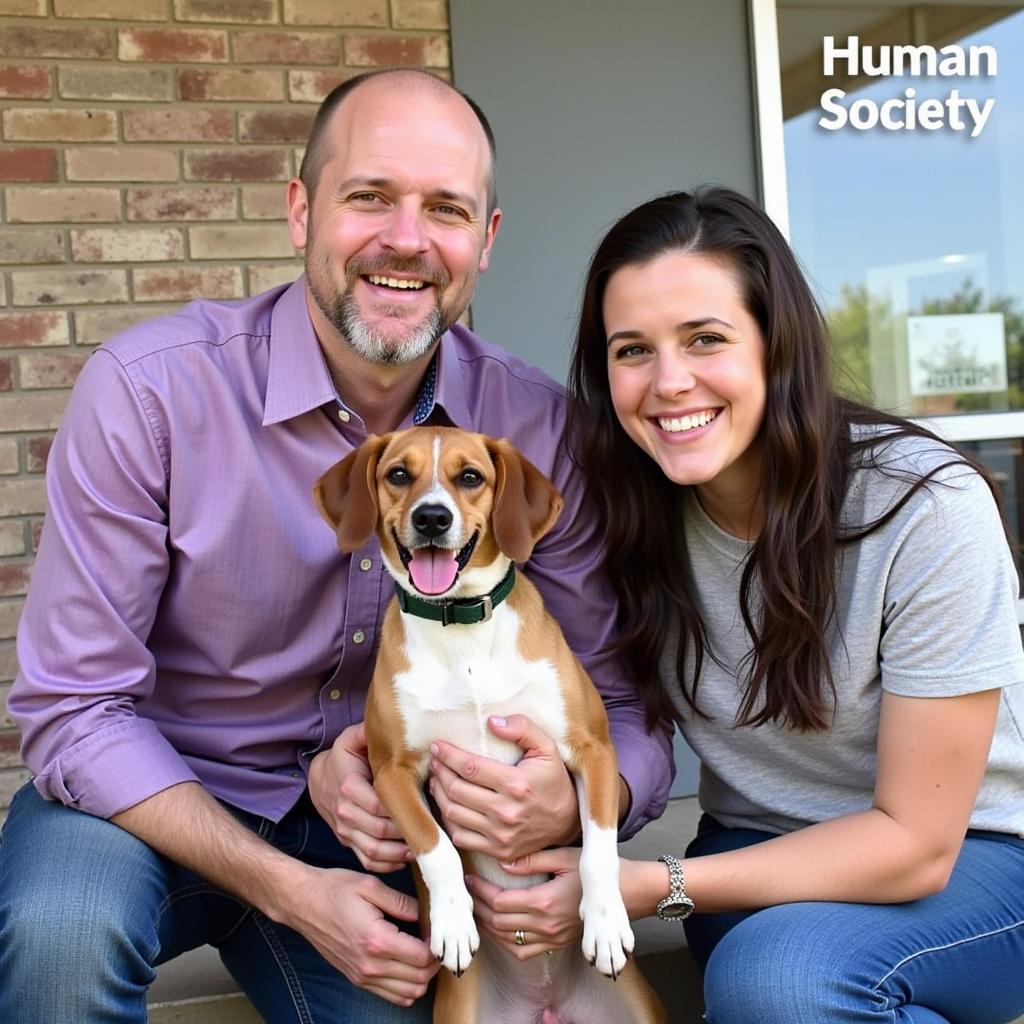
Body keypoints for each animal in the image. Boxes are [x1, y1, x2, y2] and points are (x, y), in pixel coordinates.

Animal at [313, 423, 663, 1024]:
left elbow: (598, 847)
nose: (432, 518)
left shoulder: (593, 749)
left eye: (470, 476)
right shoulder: (391, 772)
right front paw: (453, 921)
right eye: (398, 474)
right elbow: (436, 848)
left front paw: (606, 924)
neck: (461, 629)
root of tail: (546, 1003)